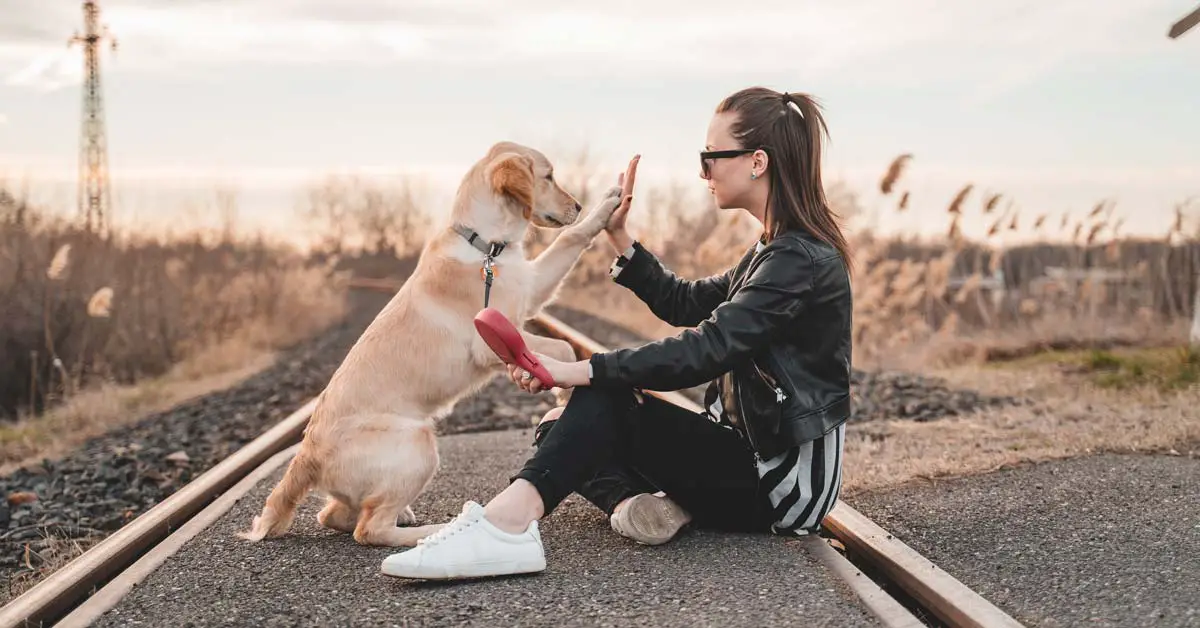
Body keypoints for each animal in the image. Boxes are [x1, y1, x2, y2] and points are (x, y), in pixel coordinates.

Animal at [238, 142, 624, 545]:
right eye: (548, 177)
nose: (578, 205)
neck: (486, 247)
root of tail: (306, 455)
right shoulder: (490, 338)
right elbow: (562, 348)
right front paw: (564, 393)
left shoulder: (530, 289)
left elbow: (570, 239)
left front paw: (605, 205)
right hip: (418, 441)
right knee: (368, 529)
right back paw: (435, 530)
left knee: (333, 515)